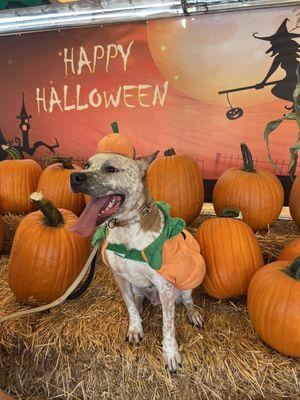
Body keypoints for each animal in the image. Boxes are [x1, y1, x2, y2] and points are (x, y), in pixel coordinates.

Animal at [70, 152, 206, 372]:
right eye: (87, 165)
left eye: (111, 169)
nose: (74, 177)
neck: (126, 226)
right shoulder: (120, 278)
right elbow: (130, 305)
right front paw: (135, 327)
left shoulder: (165, 286)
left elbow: (168, 325)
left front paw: (171, 353)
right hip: (137, 287)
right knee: (138, 299)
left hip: (187, 280)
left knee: (187, 300)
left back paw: (193, 314)